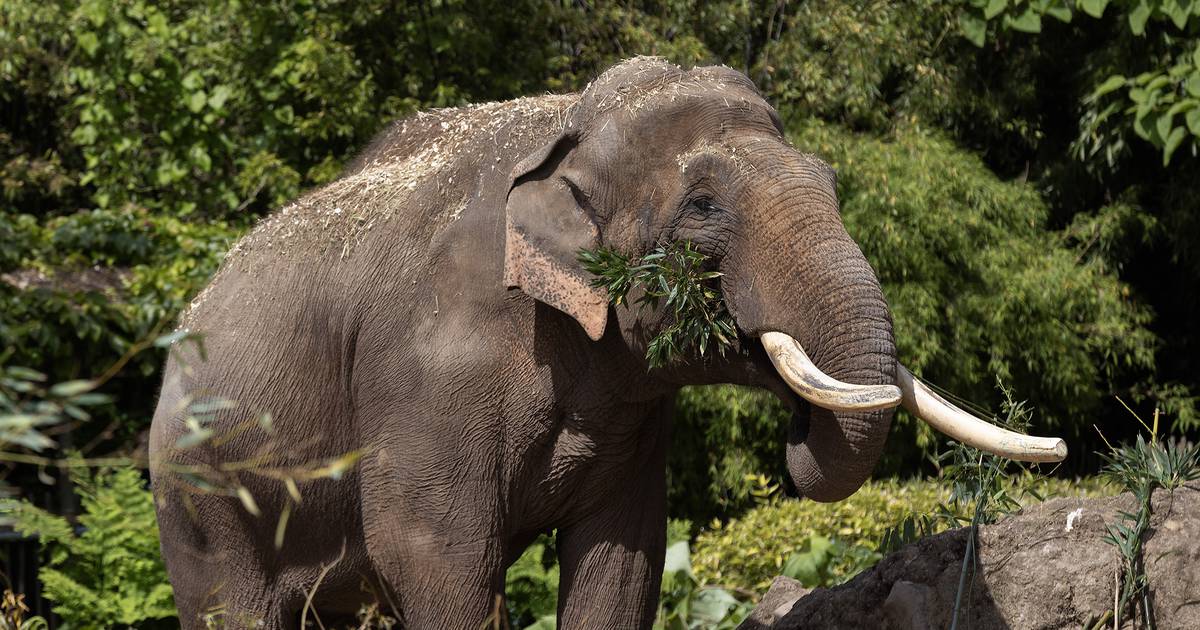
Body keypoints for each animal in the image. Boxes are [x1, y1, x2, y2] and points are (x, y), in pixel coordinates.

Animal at [152, 56, 1070, 624]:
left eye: (833, 182)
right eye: (703, 206)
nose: (797, 433)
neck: (568, 126)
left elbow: (623, 559)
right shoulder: (426, 372)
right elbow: (434, 554)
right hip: (196, 496)